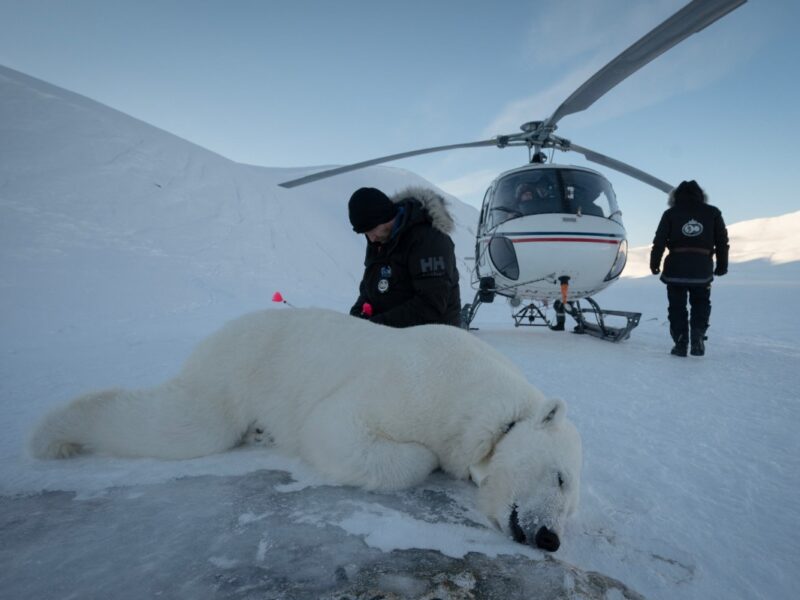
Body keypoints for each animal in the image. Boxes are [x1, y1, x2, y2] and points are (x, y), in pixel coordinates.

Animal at [29, 308, 582, 552]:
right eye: (559, 478)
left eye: (571, 508)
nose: (551, 538)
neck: (487, 402)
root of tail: (225, 330)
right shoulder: (416, 386)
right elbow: (337, 429)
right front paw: (427, 460)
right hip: (239, 371)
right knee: (186, 424)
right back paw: (53, 433)